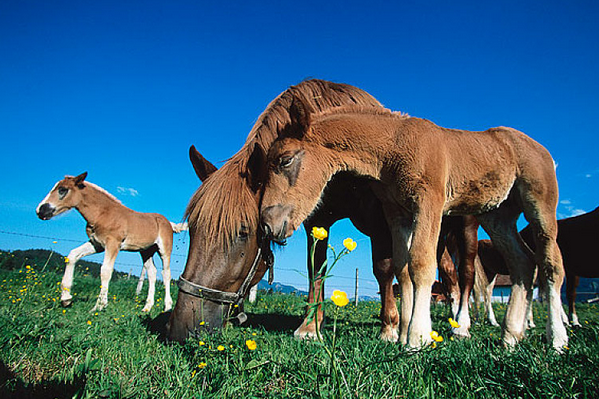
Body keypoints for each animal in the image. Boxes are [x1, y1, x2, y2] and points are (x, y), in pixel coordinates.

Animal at [36, 173, 185, 314]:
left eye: (62, 190)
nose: (40, 210)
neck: (102, 214)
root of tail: (168, 222)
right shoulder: (96, 244)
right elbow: (72, 255)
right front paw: (66, 298)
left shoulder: (113, 244)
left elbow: (106, 270)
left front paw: (99, 306)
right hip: (146, 250)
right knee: (152, 272)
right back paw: (147, 307)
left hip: (164, 249)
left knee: (166, 274)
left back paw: (167, 307)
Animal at [166, 79, 400, 342]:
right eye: (193, 230)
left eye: (243, 232)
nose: (181, 327)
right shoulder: (316, 222)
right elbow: (316, 268)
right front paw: (310, 327)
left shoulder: (379, 219)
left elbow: (384, 269)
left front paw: (389, 328)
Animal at [260, 101, 568, 350]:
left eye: (284, 160)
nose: (268, 223)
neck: (394, 146)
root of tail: (541, 149)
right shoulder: (398, 213)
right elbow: (401, 267)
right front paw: (401, 332)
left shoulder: (429, 201)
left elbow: (420, 263)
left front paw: (417, 337)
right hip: (497, 215)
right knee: (523, 263)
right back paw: (511, 335)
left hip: (539, 205)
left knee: (550, 264)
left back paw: (557, 338)